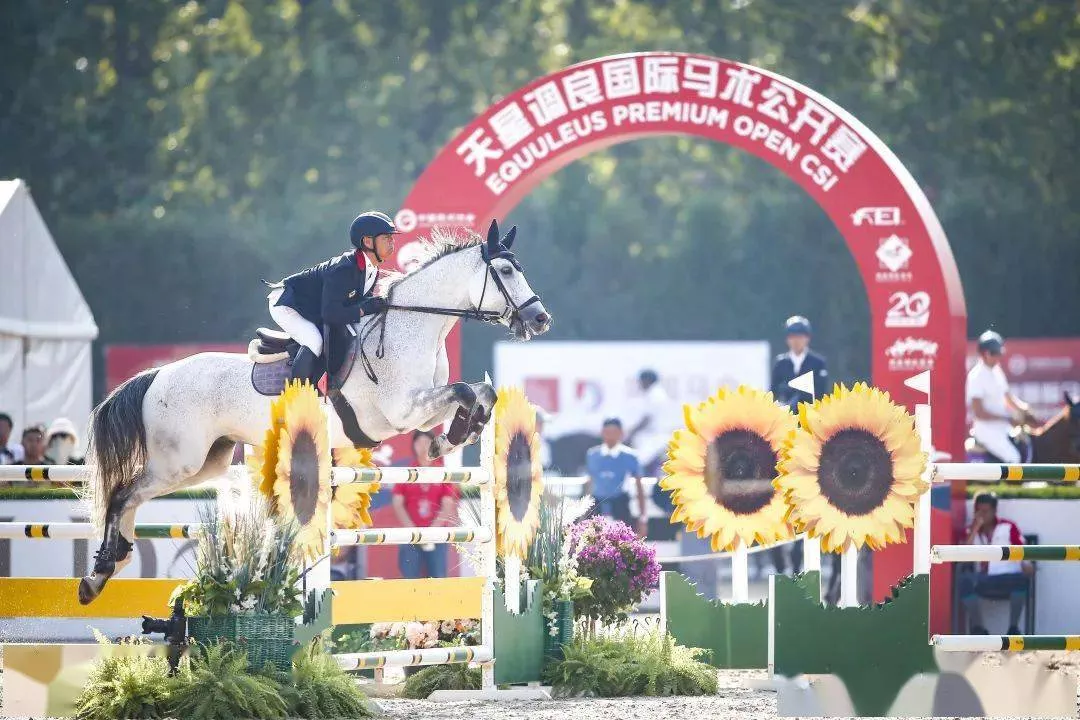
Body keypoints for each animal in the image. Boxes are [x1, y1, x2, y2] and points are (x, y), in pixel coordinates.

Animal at [80, 219, 551, 604]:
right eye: (507, 271)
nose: (540, 320)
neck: (413, 327)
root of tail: (157, 374)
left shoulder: (422, 410)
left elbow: (482, 392)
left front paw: (454, 436)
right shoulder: (402, 411)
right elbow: (464, 391)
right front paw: (449, 439)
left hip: (205, 462)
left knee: (132, 495)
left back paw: (110, 566)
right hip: (178, 460)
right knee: (121, 493)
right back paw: (99, 571)